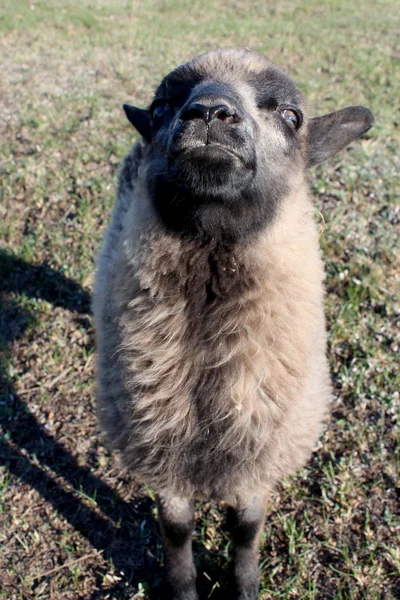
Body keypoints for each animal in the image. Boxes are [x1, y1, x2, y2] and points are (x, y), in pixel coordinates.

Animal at [92, 48, 374, 600]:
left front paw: (244, 585)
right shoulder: (160, 448)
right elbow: (176, 528)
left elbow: (245, 528)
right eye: (161, 107)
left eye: (291, 116)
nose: (208, 113)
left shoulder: (261, 454)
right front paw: (183, 588)